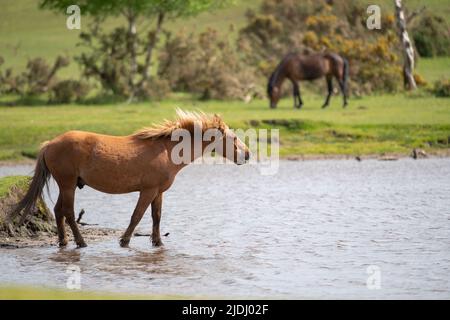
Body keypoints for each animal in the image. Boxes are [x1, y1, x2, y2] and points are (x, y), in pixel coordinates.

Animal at [12, 110, 250, 248]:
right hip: (68, 184)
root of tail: (49, 144)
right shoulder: (147, 191)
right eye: (234, 138)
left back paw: (63, 241)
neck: (166, 150)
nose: (247, 155)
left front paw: (158, 242)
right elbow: (137, 216)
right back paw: (81, 242)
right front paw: (124, 241)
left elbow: (156, 217)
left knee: (59, 211)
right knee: (69, 213)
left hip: (66, 185)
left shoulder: (158, 192)